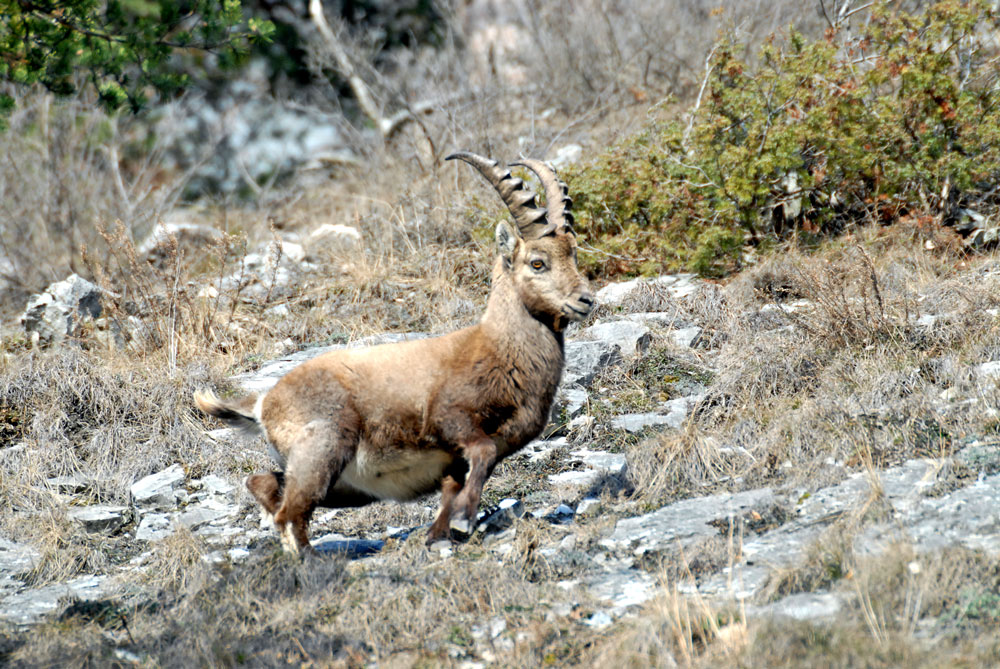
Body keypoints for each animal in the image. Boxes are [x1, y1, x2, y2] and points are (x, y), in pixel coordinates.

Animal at [194, 152, 595, 554]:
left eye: (573, 255)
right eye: (537, 262)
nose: (586, 300)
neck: (500, 348)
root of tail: (264, 404)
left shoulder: (459, 458)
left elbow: (455, 485)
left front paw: (441, 533)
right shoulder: (449, 418)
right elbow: (481, 451)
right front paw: (464, 520)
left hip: (342, 484)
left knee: (264, 484)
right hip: (323, 450)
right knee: (289, 514)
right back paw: (312, 562)